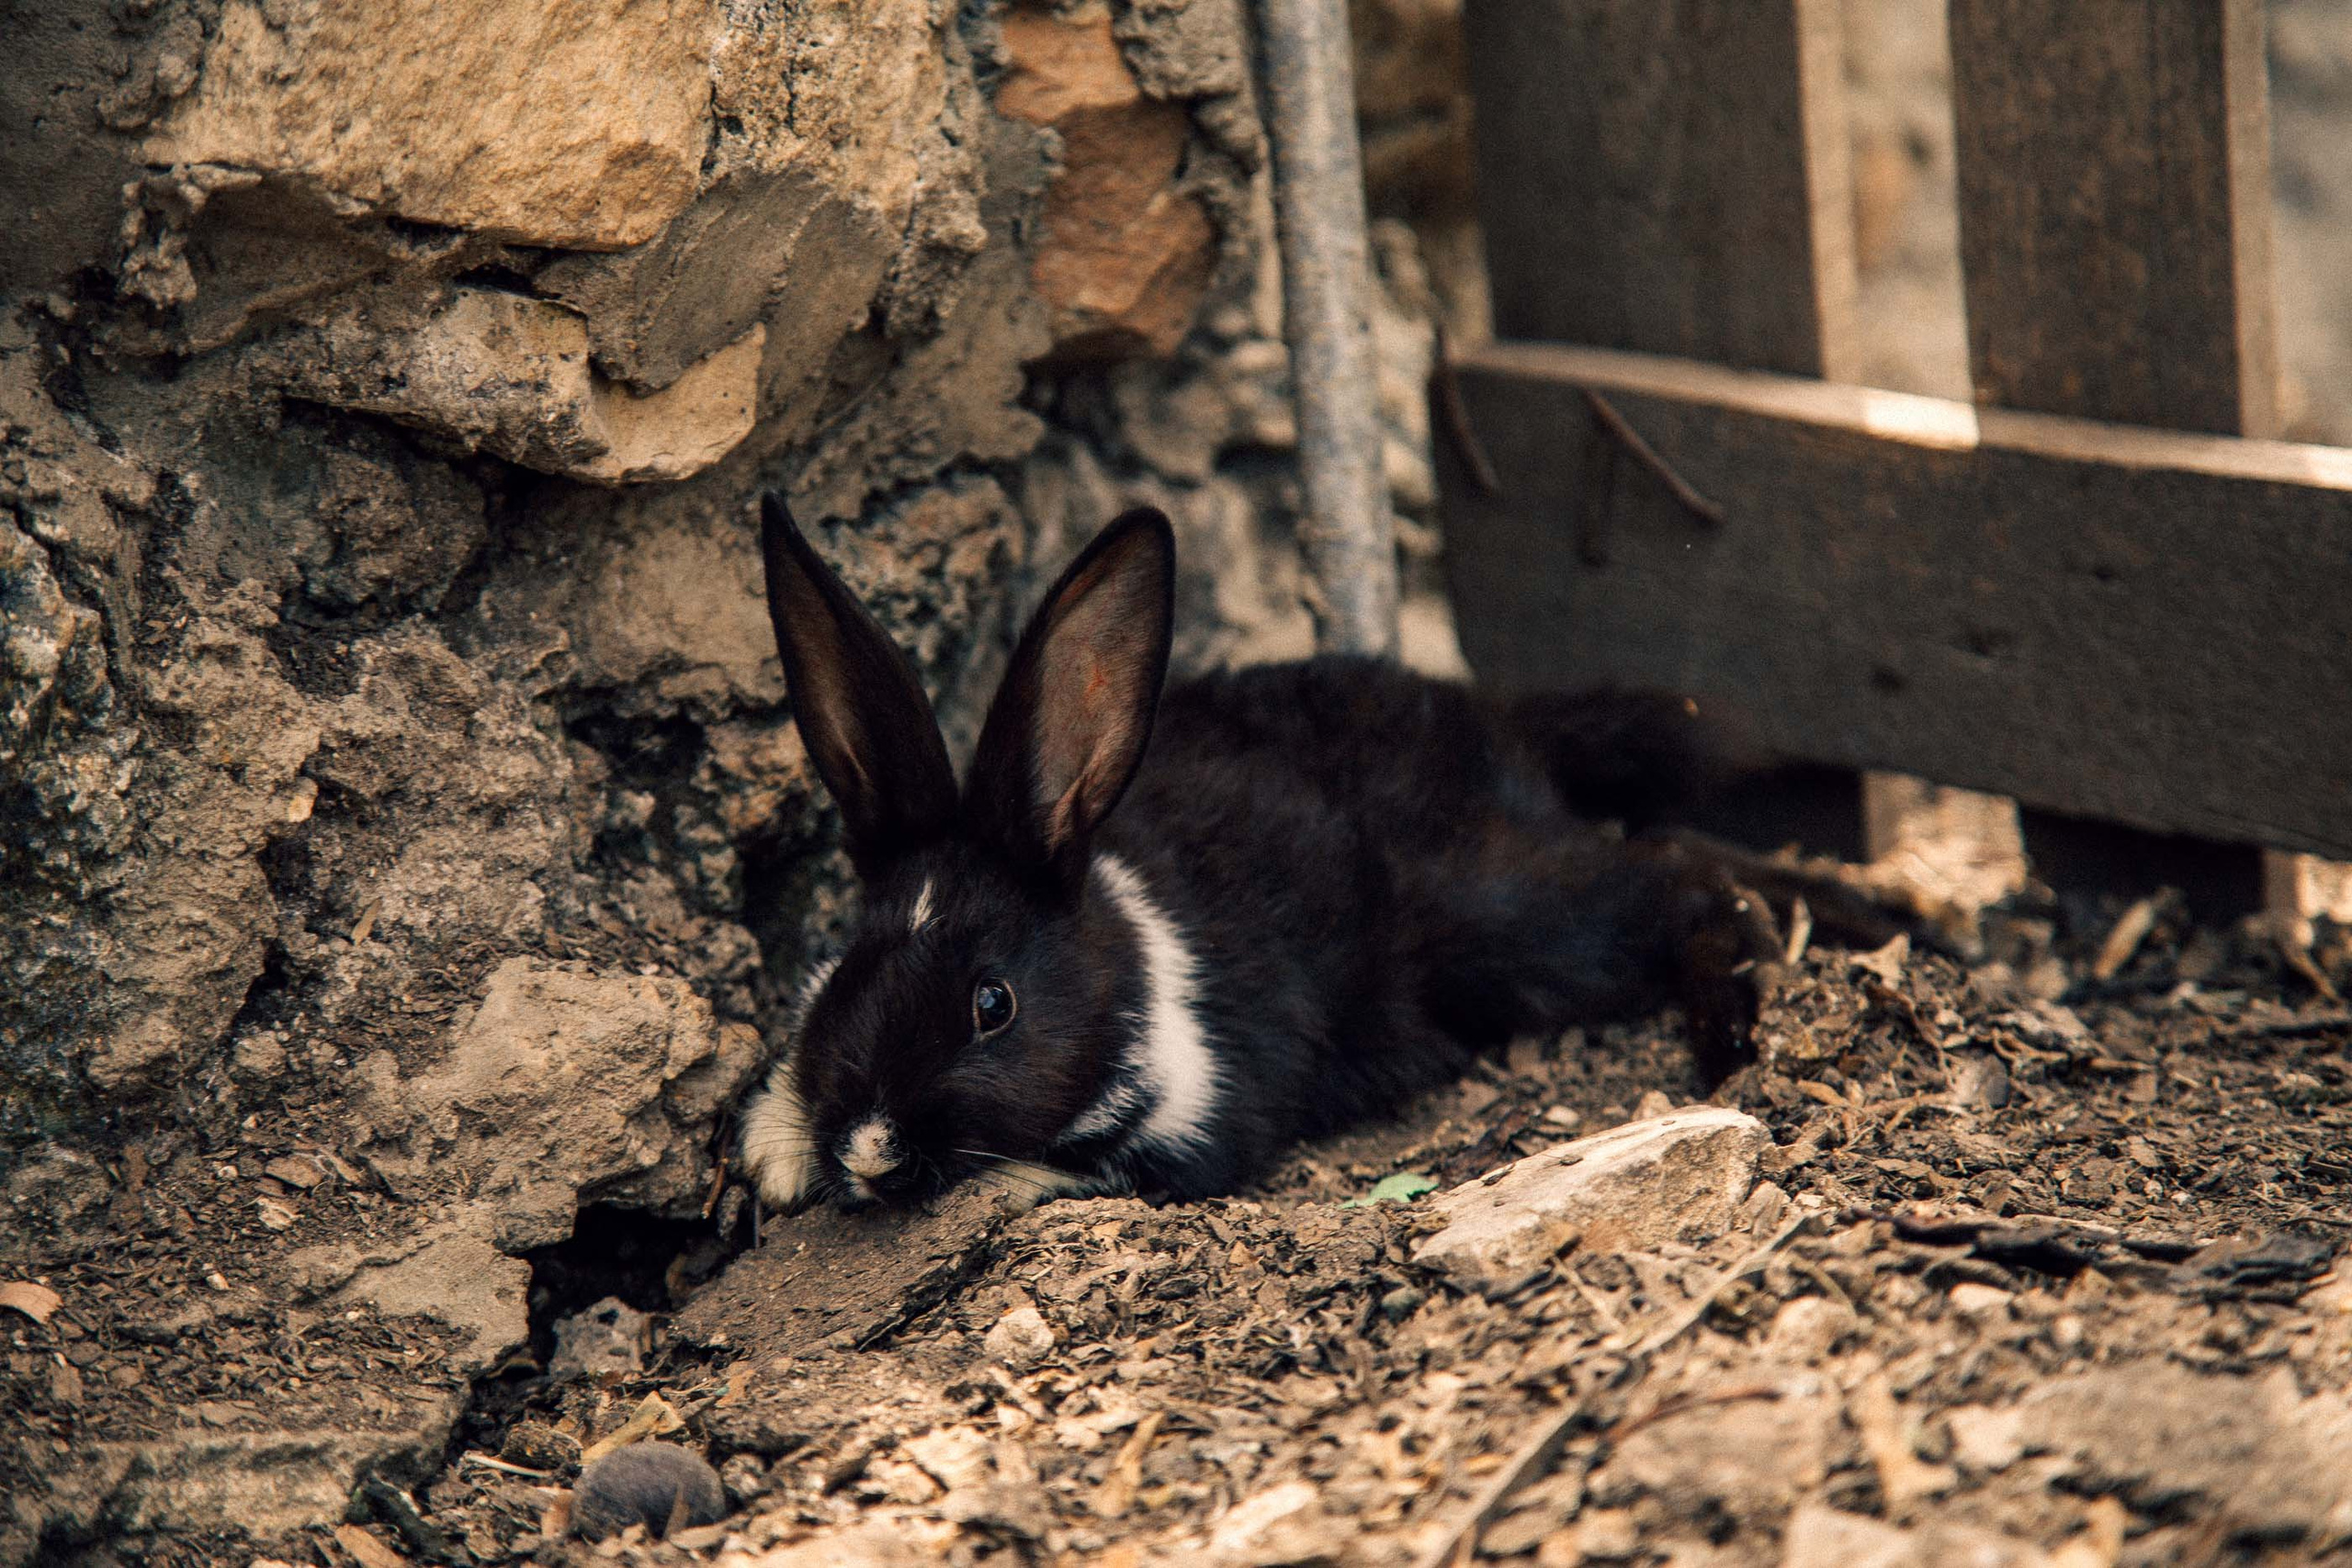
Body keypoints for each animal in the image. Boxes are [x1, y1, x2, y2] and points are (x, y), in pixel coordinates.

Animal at [738, 493, 1837, 1213]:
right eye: (844, 969)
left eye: (992, 1006)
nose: (870, 1147)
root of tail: (1493, 723)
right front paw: (772, 1159)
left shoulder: (1204, 1124)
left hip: (1514, 920)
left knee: (1683, 881)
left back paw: (1730, 1034)